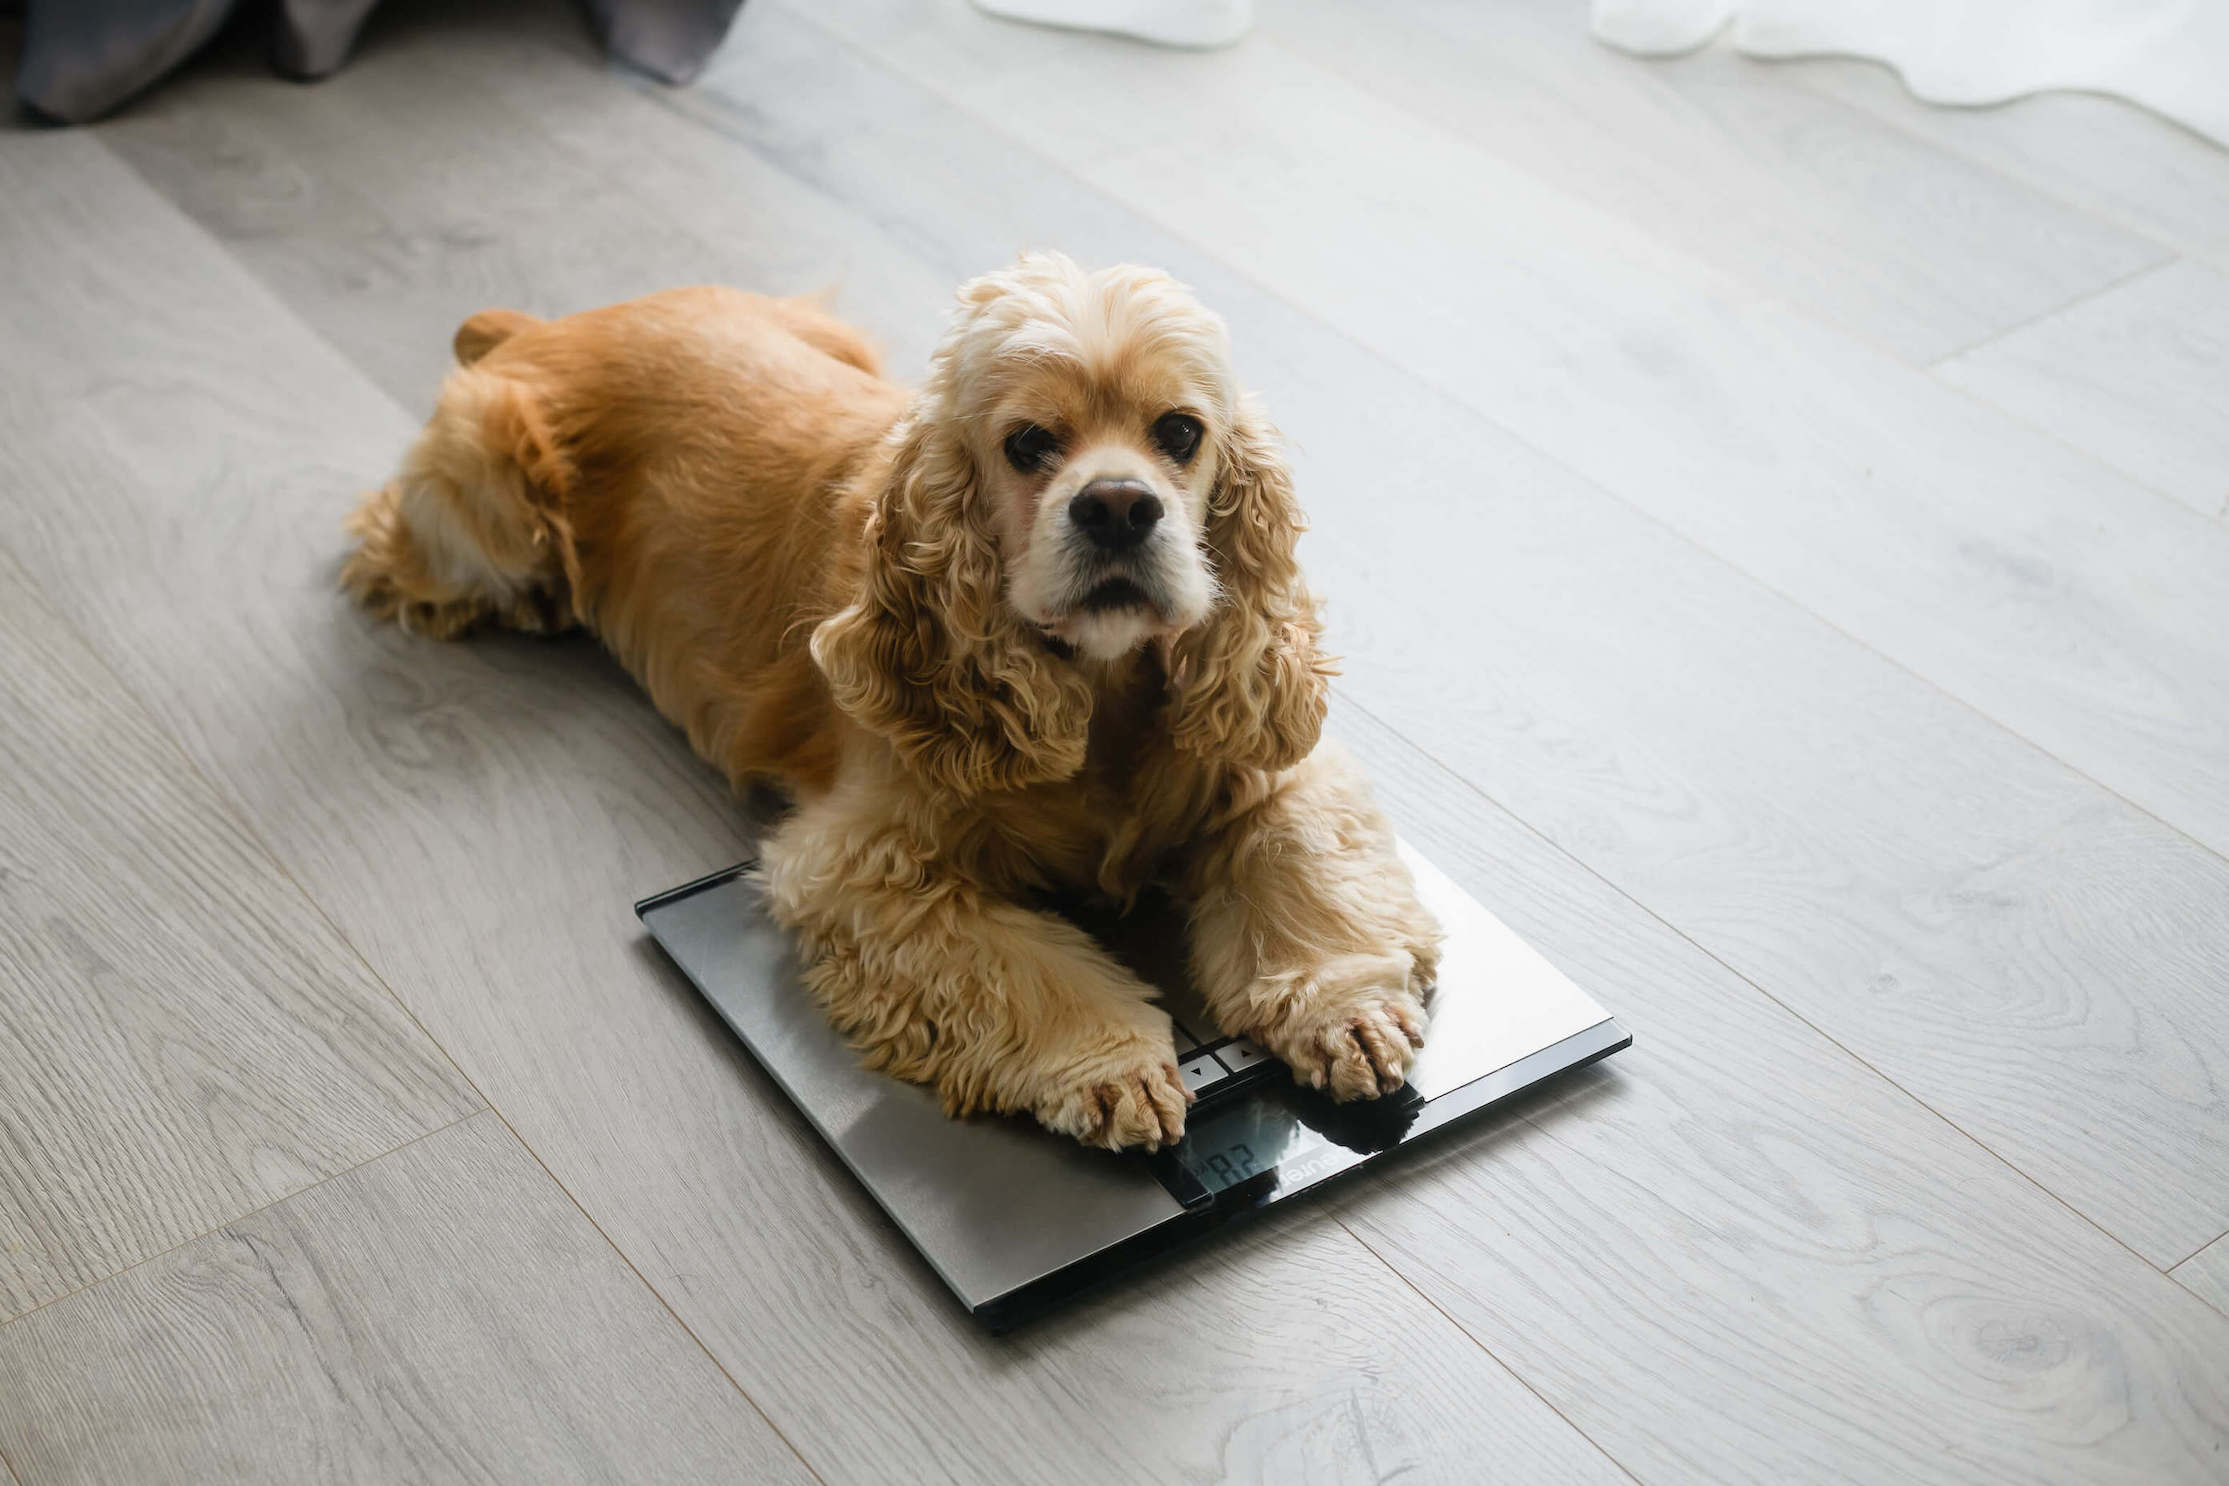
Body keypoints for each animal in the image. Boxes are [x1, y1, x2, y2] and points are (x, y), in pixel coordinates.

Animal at [338, 256, 1435, 1149]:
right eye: (1027, 444)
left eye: (1180, 433)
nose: (1119, 507)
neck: (1099, 690)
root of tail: (544, 325)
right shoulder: (860, 866)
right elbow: (1014, 964)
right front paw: (1111, 1066)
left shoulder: (1267, 761)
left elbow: (1298, 860)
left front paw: (1343, 1007)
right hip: (493, 490)